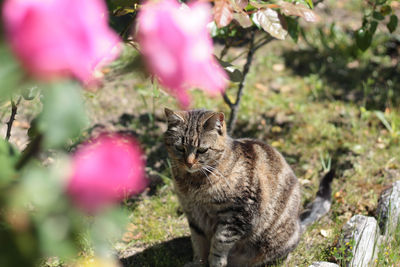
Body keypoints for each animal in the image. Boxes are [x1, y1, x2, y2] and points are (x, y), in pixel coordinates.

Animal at [163, 109, 334, 267]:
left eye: (202, 150)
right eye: (180, 148)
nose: (189, 163)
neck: (193, 185)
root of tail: (299, 224)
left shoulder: (239, 215)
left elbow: (219, 243)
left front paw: (215, 262)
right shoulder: (193, 216)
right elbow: (199, 245)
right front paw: (197, 263)